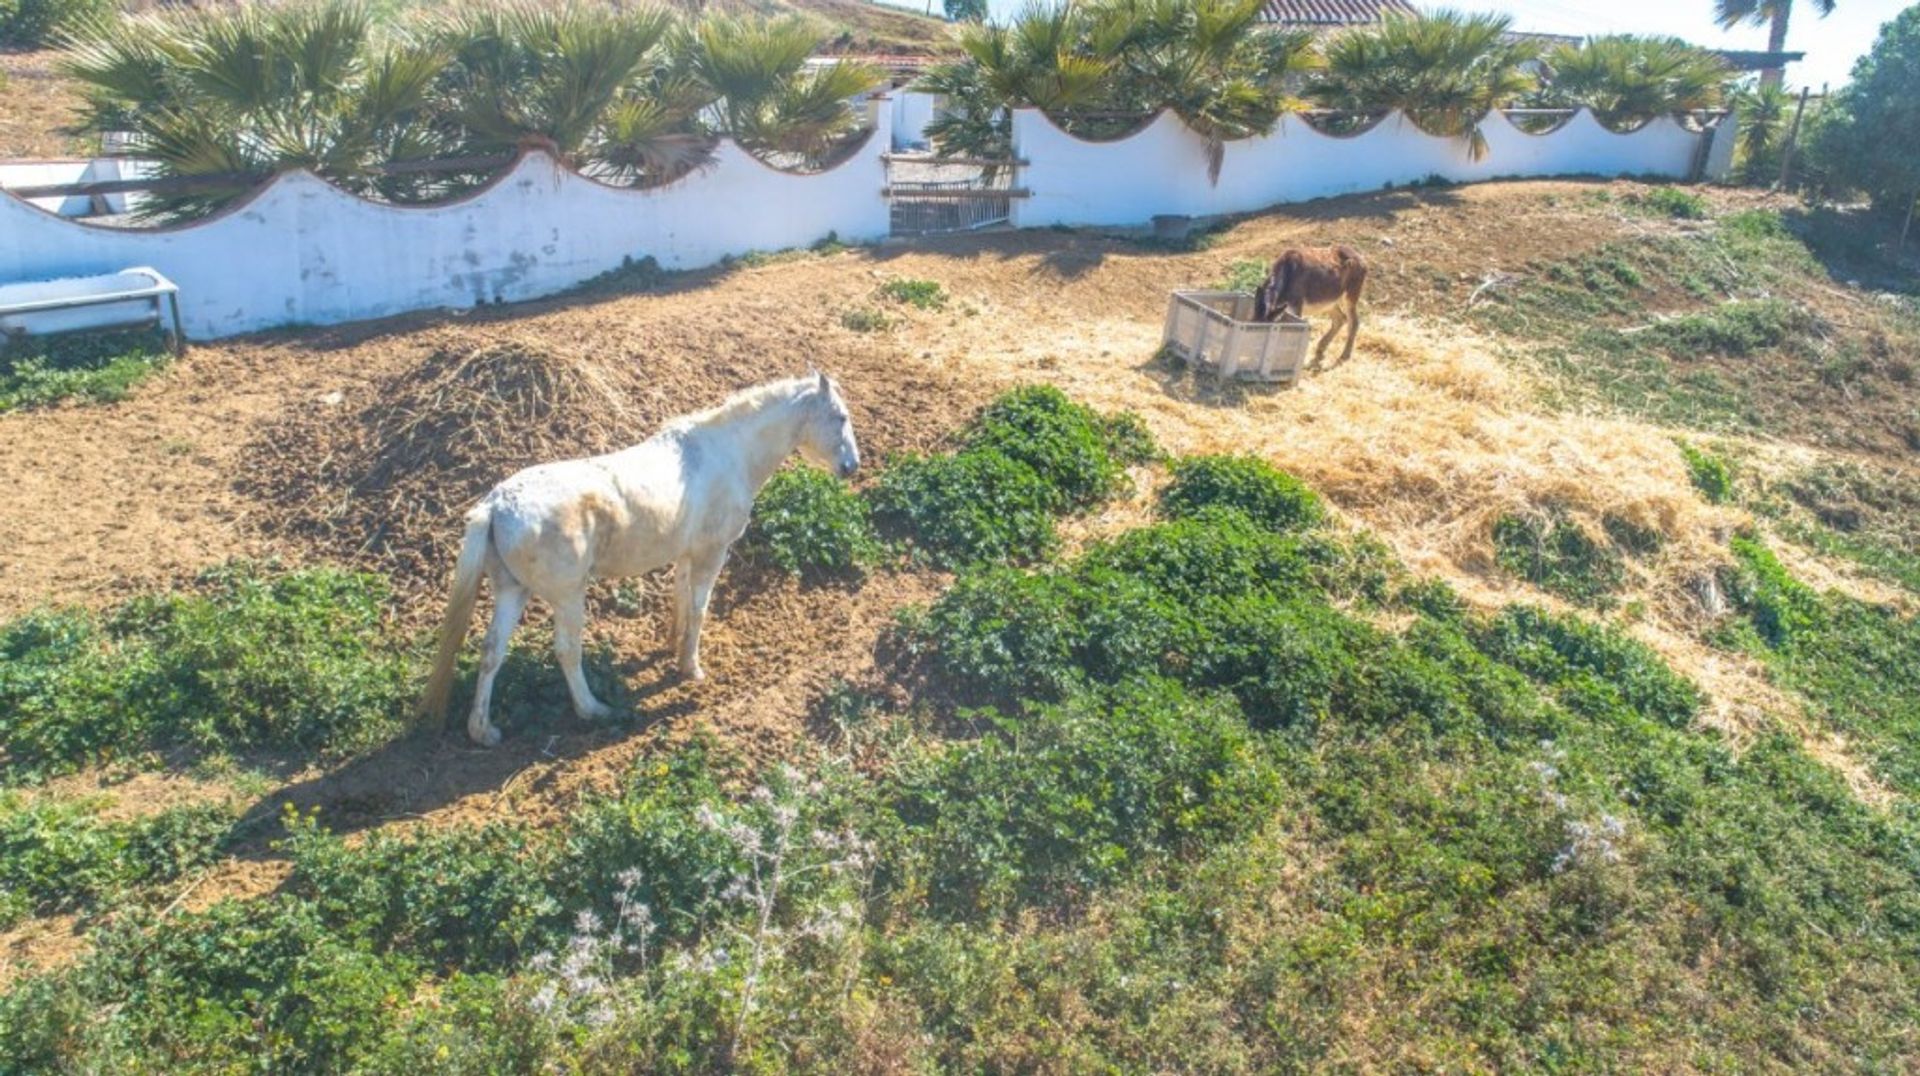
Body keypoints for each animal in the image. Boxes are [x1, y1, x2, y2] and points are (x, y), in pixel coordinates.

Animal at [430, 374, 871, 745]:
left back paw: (483, 730)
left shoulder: (686, 554)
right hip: (568, 596)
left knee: (492, 652)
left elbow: (680, 600)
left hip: (512, 591)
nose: (852, 466)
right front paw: (691, 668)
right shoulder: (712, 554)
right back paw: (593, 709)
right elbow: (699, 608)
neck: (727, 454)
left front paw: (672, 646)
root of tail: (498, 504)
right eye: (840, 417)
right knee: (567, 651)